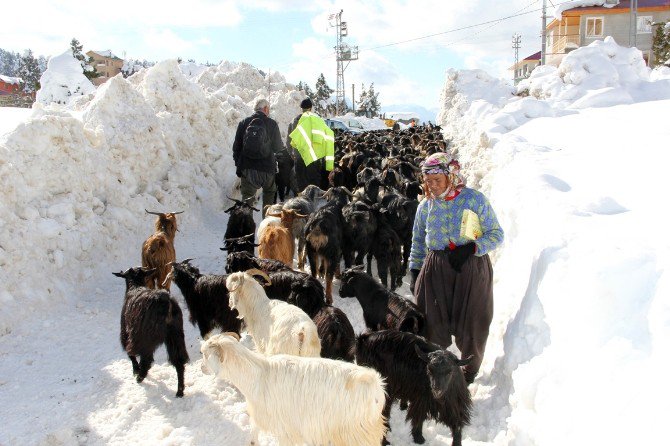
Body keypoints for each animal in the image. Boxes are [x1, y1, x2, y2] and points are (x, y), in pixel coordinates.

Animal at [113, 266, 189, 398]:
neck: (135, 286)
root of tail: (166, 303)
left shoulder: (126, 331)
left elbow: (130, 353)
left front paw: (135, 370)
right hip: (175, 335)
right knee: (179, 361)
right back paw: (180, 391)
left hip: (146, 336)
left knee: (146, 359)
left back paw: (140, 376)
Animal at [201, 332, 388, 444]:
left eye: (204, 354)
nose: (201, 369)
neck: (256, 374)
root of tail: (376, 385)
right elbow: (253, 436)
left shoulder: (285, 428)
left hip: (355, 434)